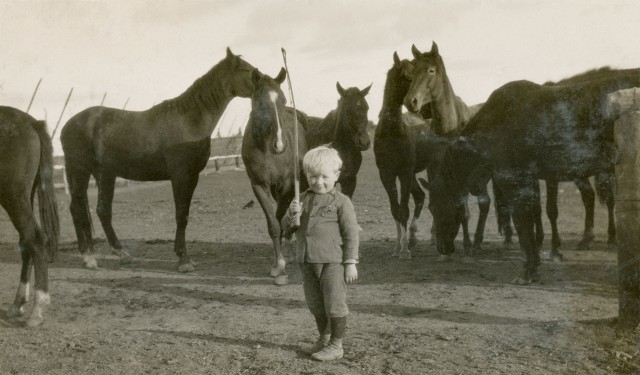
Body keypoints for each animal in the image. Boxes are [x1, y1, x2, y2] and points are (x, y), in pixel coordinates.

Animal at [0, 107, 59, 328]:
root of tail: (32, 122)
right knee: (26, 242)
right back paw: (18, 304)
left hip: (13, 196)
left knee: (36, 239)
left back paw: (37, 309)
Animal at [61, 48, 256, 272]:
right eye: (247, 69)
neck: (189, 119)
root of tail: (68, 125)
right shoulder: (180, 176)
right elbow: (180, 214)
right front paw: (183, 260)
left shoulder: (192, 177)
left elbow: (185, 214)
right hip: (79, 171)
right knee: (77, 209)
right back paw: (88, 258)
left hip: (105, 174)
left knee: (102, 211)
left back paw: (122, 254)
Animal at [241, 68, 308, 284]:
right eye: (259, 101)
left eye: (283, 100)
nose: (279, 145)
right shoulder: (259, 185)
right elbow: (273, 224)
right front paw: (278, 265)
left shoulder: (286, 186)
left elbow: (280, 218)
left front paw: (282, 260)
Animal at [428, 67, 640, 284]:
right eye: (430, 208)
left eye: (437, 207)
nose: (442, 248)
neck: (496, 123)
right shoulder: (529, 181)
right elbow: (531, 219)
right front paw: (535, 264)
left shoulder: (514, 181)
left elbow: (523, 224)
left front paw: (528, 271)